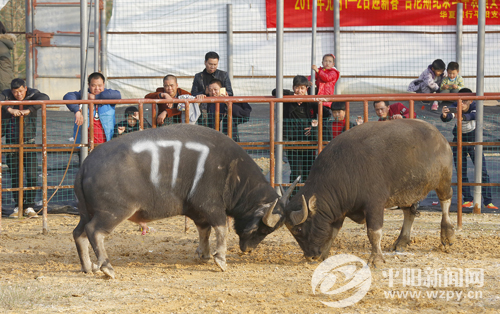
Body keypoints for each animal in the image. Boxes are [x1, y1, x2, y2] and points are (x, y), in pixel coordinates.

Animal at [73, 124, 296, 278]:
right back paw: (106, 267)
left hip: (86, 213)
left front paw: (204, 254)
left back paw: (88, 266)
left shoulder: (198, 212)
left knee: (79, 234)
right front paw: (220, 259)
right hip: (113, 212)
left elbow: (204, 231)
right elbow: (221, 229)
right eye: (259, 228)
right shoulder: (213, 207)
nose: (248, 249)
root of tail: (86, 165)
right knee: (95, 232)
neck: (231, 172)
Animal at [286, 119, 454, 266]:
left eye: (298, 229)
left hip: (443, 180)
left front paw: (376, 259)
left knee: (446, 200)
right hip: (405, 192)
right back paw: (401, 241)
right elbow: (333, 232)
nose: (310, 256)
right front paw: (324, 255)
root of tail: (439, 136)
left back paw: (447, 234)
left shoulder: (374, 205)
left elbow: (374, 233)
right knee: (409, 213)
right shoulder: (338, 210)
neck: (344, 171)